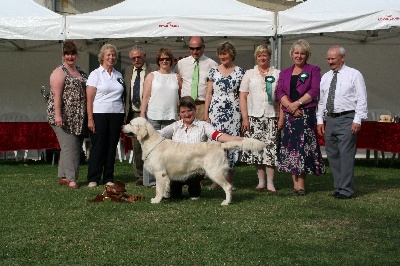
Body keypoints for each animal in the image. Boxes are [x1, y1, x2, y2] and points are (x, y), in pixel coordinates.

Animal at [122, 117, 266, 206]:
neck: (151, 142)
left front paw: (156, 200)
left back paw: (226, 202)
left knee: (228, 186)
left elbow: (158, 188)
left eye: (130, 123)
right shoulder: (164, 175)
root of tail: (220, 145)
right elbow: (165, 187)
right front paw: (166, 196)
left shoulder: (160, 173)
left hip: (214, 172)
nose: (122, 126)